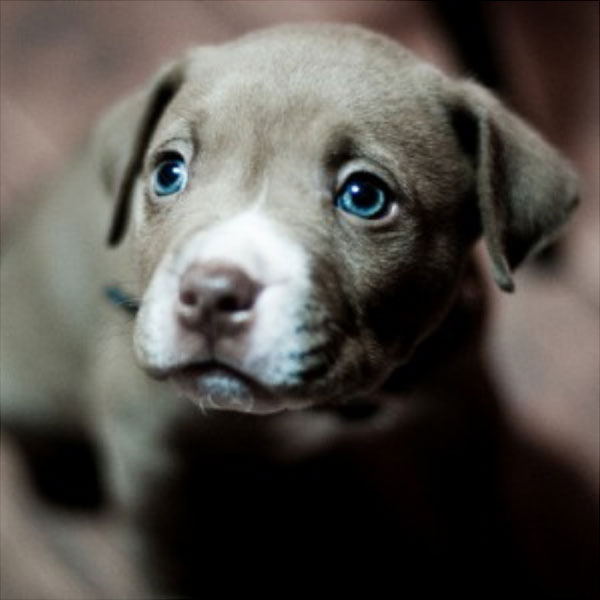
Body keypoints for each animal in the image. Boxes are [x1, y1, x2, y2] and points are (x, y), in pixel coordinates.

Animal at [1, 22, 592, 596]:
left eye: (364, 195)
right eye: (169, 172)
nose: (212, 292)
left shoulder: (463, 397)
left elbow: (480, 510)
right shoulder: (147, 453)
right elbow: (166, 562)